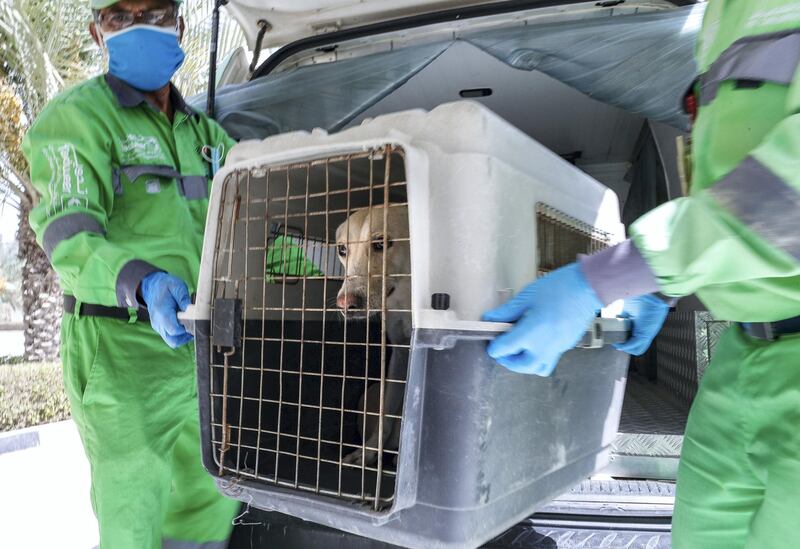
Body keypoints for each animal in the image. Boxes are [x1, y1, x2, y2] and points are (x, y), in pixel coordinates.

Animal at [336, 203, 412, 464]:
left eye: (381, 243)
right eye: (342, 249)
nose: (345, 304)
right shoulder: (400, 352)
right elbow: (386, 414)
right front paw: (368, 452)